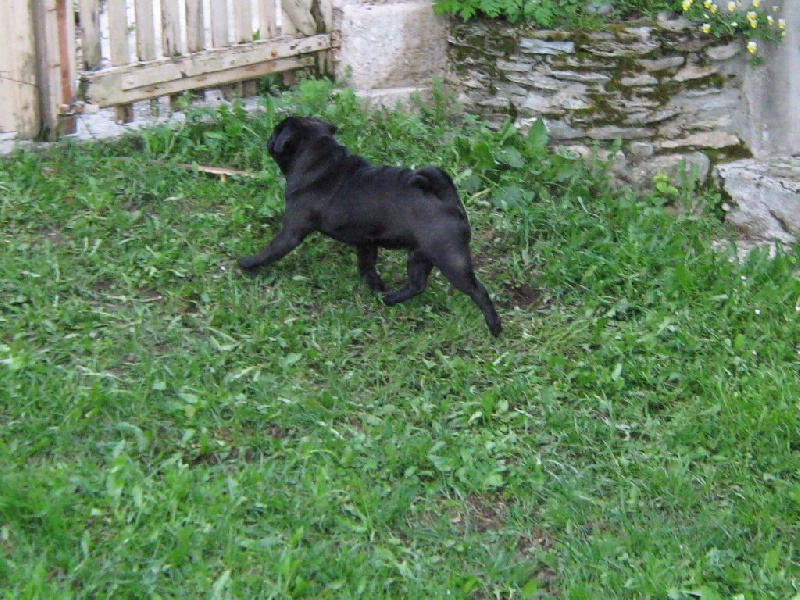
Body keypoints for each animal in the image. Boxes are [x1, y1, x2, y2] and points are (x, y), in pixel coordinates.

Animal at [236, 115, 500, 336]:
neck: (320, 162)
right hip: (420, 254)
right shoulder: (366, 241)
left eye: (276, 132)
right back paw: (389, 299)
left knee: (477, 290)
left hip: (449, 258)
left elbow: (271, 251)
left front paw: (247, 263)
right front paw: (373, 285)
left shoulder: (291, 232)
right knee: (416, 285)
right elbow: (367, 265)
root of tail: (447, 199)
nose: (269, 138)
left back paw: (494, 325)